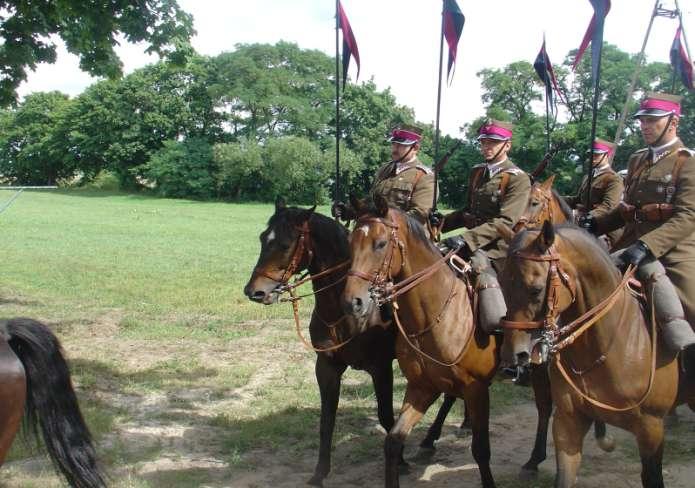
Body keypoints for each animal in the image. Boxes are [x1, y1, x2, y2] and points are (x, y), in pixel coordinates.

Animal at [245, 198, 468, 488]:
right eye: (263, 238)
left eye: (284, 244)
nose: (254, 291)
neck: (341, 311)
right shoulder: (327, 367)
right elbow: (327, 419)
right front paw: (320, 473)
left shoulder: (381, 368)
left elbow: (386, 416)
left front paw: (401, 461)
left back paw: (432, 439)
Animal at [342, 195, 500, 488]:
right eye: (350, 243)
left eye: (381, 244)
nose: (352, 302)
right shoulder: (421, 387)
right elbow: (393, 441)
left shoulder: (477, 389)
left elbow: (481, 450)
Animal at [500, 222, 695, 488]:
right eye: (502, 283)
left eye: (536, 289)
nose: (513, 355)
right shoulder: (568, 422)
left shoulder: (651, 428)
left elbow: (652, 477)